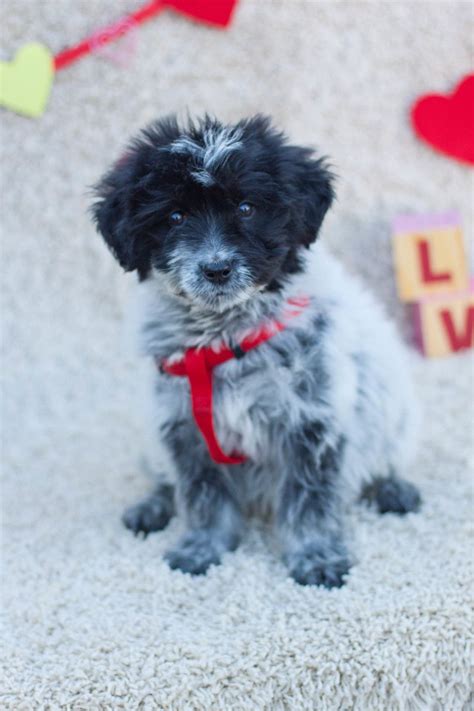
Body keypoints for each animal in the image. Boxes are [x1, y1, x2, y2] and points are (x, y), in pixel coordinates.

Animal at [90, 114, 420, 588]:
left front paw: (315, 555)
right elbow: (202, 496)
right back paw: (150, 506)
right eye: (174, 216)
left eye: (246, 208)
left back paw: (394, 488)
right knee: (162, 479)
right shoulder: (183, 426)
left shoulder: (313, 421)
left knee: (387, 457)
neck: (227, 337)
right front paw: (201, 547)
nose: (216, 269)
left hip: (395, 414)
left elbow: (310, 501)